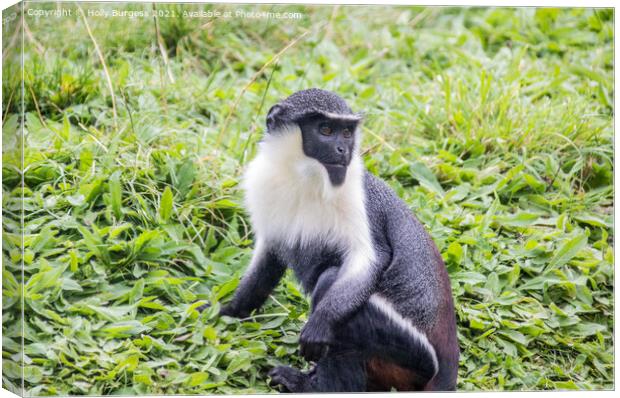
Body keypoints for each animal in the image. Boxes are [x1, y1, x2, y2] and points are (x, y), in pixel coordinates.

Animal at [216, 88, 458, 392]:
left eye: (346, 133)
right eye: (326, 129)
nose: (344, 150)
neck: (303, 177)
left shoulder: (360, 199)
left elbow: (369, 259)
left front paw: (319, 325)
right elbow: (267, 260)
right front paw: (228, 312)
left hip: (412, 354)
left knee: (332, 283)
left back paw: (315, 386)